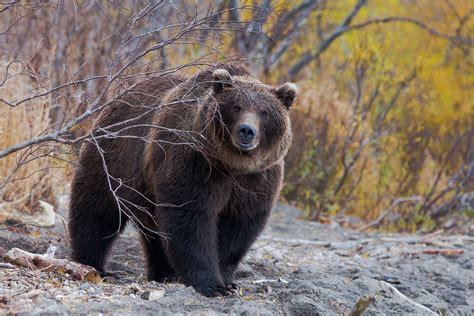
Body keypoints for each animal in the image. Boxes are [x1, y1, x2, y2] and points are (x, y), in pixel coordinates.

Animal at [67, 63, 296, 298]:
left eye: (264, 112)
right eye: (236, 106)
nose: (247, 131)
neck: (231, 165)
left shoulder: (257, 180)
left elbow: (239, 224)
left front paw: (226, 281)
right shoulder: (194, 163)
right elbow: (190, 217)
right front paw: (211, 284)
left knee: (154, 232)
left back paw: (164, 273)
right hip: (113, 160)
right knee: (98, 211)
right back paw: (94, 266)